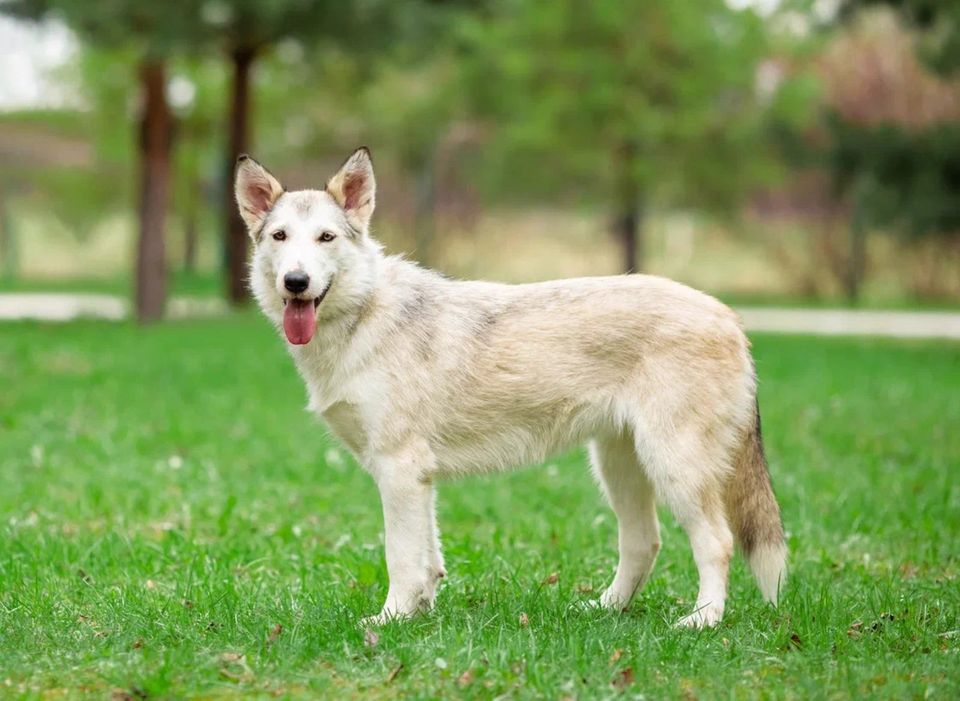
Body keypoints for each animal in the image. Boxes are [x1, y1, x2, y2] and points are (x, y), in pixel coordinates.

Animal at [234, 149, 788, 628]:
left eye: (326, 238)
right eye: (280, 237)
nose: (296, 282)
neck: (363, 316)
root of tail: (730, 318)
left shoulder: (399, 470)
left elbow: (401, 560)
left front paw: (390, 622)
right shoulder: (416, 478)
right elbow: (428, 562)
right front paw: (419, 616)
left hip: (673, 469)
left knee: (716, 543)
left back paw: (702, 622)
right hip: (619, 468)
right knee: (644, 545)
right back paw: (603, 610)